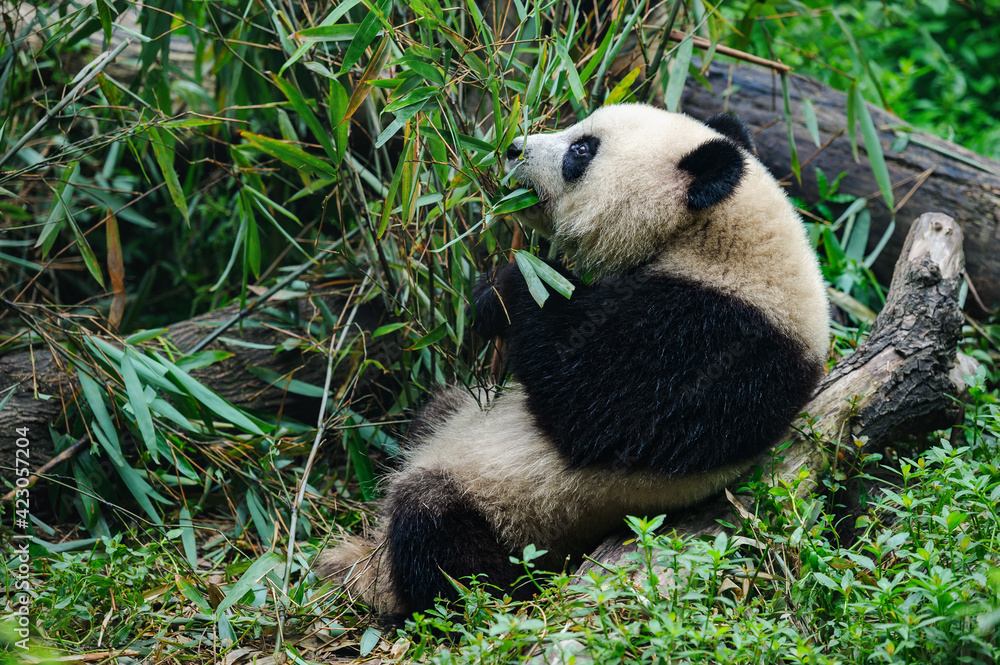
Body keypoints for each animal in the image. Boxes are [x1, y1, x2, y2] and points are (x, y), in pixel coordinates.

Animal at [316, 103, 830, 618]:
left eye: (581, 150)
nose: (512, 148)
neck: (718, 239)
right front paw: (492, 293)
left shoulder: (719, 340)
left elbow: (599, 411)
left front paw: (507, 286)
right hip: (457, 420)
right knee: (433, 414)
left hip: (517, 517)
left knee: (438, 532)